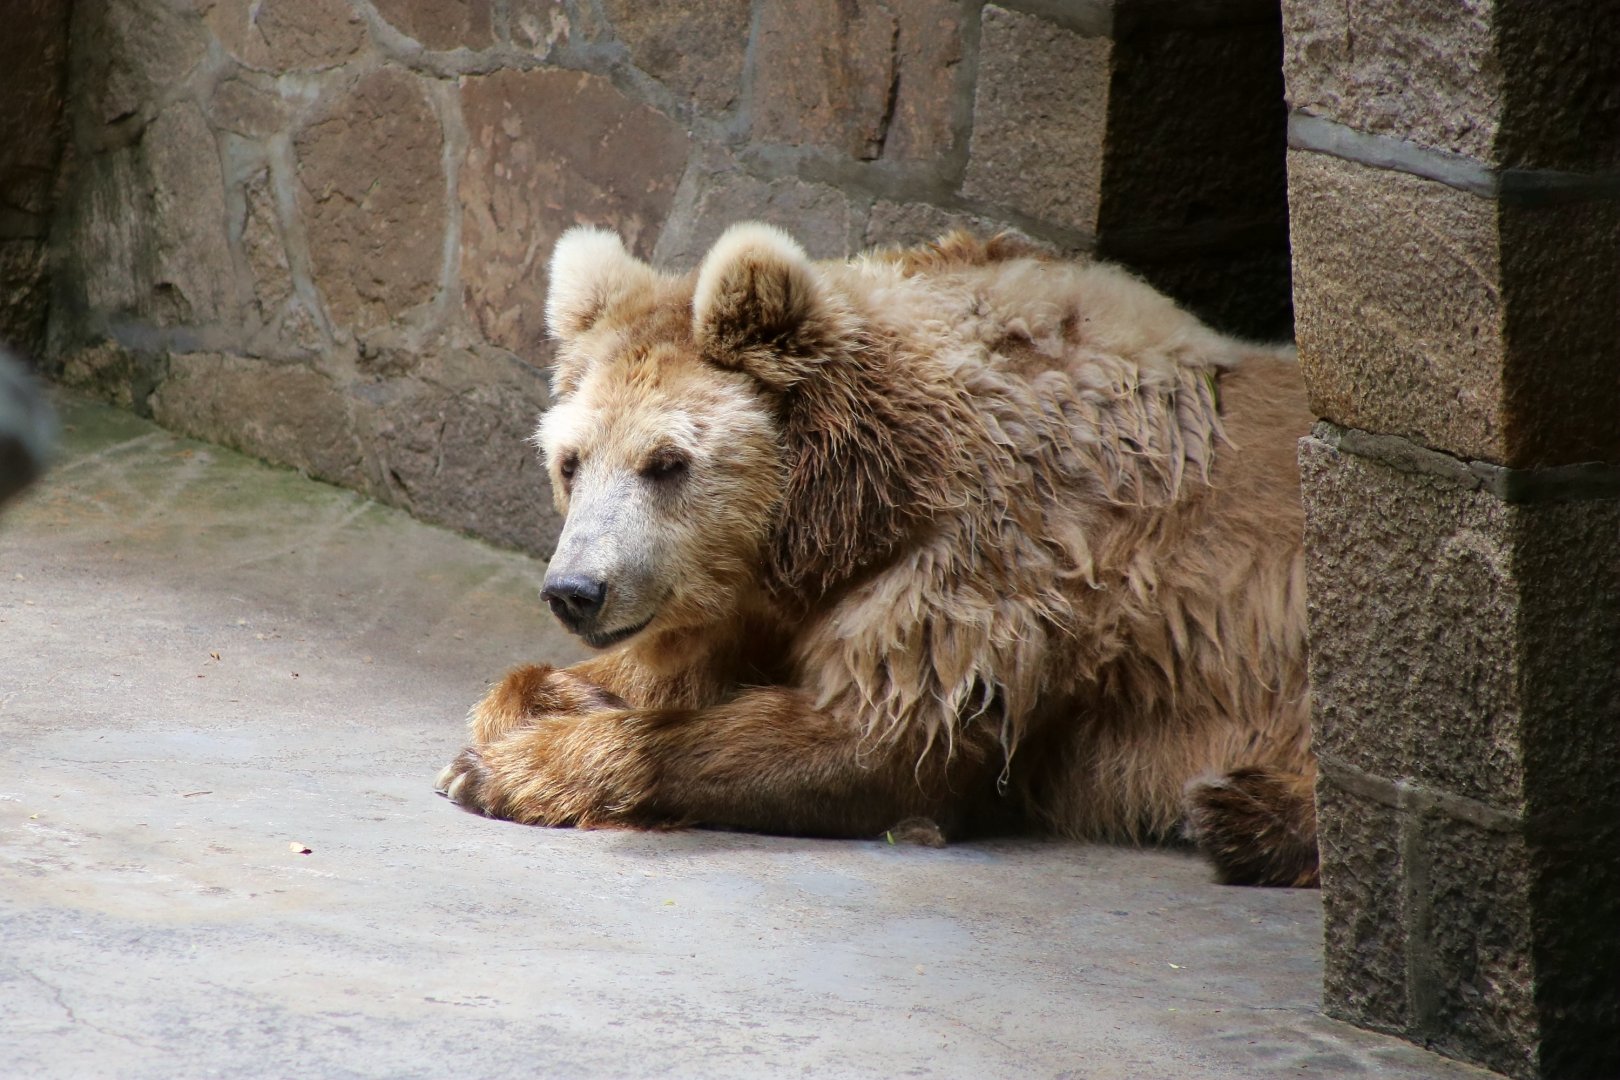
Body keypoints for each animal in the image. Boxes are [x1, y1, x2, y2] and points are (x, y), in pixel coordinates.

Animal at [437, 222, 1318, 888]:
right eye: (571, 461)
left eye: (666, 462)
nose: (575, 588)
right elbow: (643, 670)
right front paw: (539, 706)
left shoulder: (991, 568)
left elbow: (871, 740)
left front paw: (506, 770)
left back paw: (1241, 815)